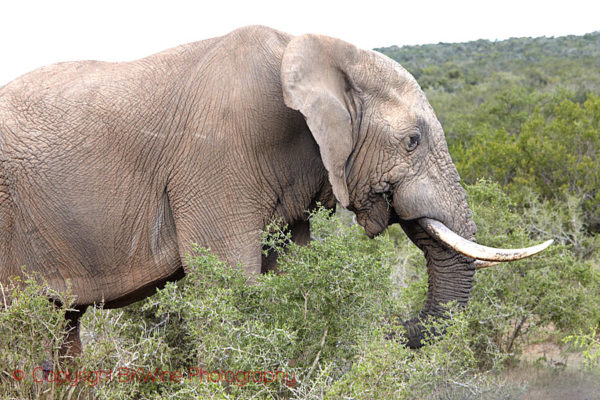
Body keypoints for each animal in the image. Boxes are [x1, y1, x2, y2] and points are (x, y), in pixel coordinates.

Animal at [0, 26, 548, 354]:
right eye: (412, 140)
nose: (388, 325)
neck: (314, 50)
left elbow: (290, 271)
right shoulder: (214, 160)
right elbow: (230, 285)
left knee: (61, 326)